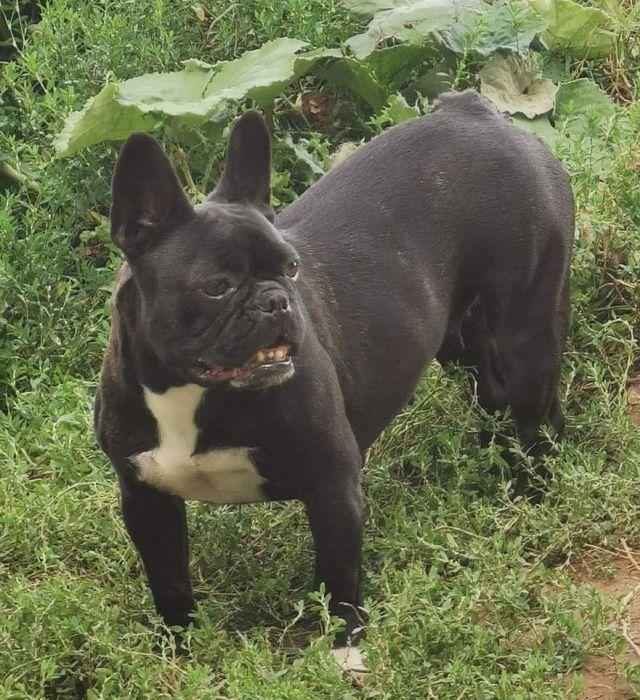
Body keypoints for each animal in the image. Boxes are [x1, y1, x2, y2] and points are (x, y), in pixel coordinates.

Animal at [95, 91, 573, 672]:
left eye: (292, 268)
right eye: (217, 286)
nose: (277, 300)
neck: (190, 395)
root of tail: (472, 110)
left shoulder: (332, 485)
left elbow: (338, 576)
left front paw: (345, 648)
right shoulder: (146, 499)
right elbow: (168, 582)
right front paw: (180, 651)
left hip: (528, 324)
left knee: (536, 414)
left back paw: (530, 493)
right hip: (452, 338)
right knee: (496, 391)